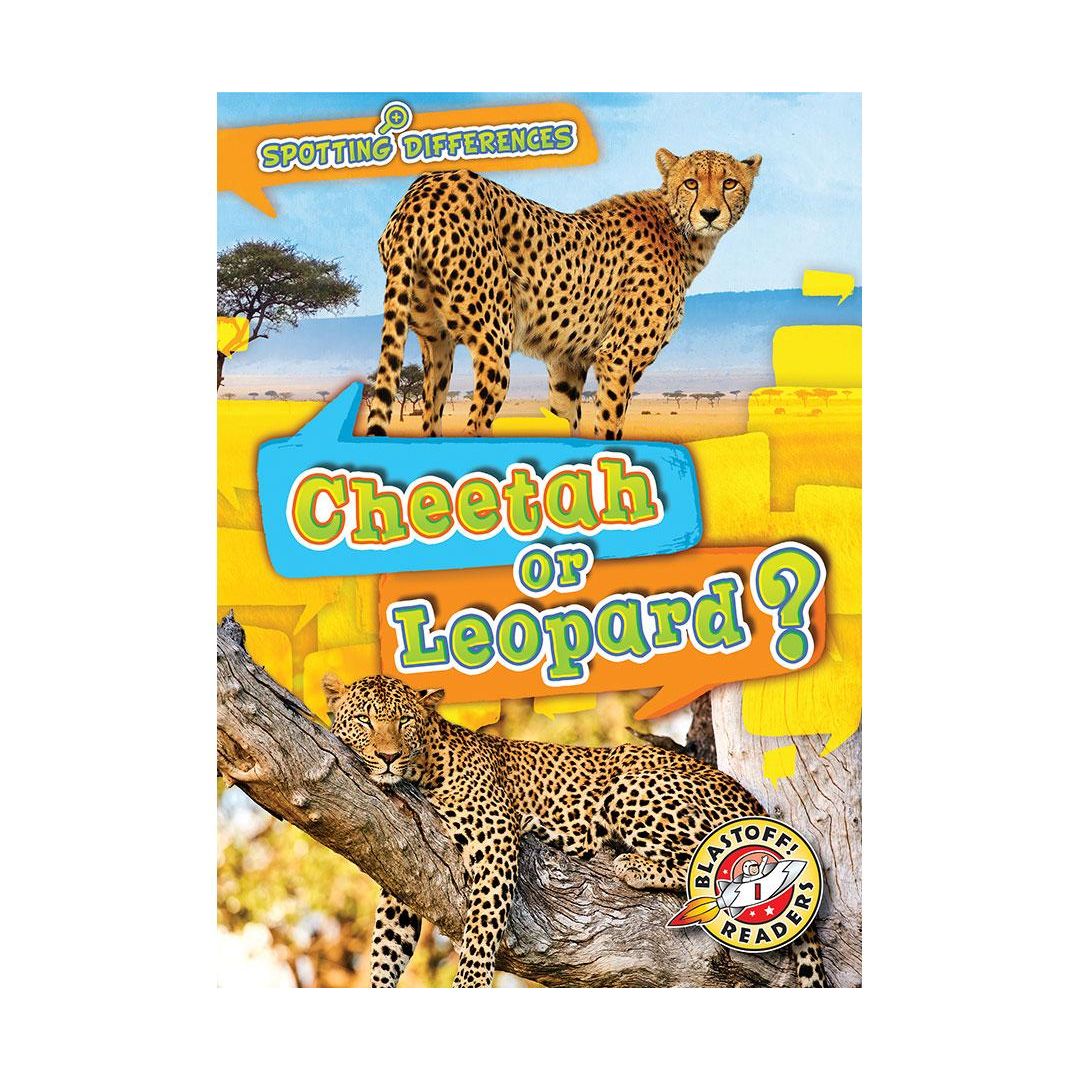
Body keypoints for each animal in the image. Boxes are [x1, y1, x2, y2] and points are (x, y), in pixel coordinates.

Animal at [322, 672, 827, 989]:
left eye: (404, 721)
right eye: (365, 720)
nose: (387, 756)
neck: (423, 767)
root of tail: (751, 798)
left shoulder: (494, 837)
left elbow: (482, 926)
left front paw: (469, 984)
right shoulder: (405, 861)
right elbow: (387, 943)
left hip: (633, 785)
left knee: (718, 865)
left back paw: (630, 864)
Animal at [363, 146, 761, 441]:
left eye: (729, 183)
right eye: (691, 183)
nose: (709, 213)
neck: (682, 233)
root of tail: (424, 188)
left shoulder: (568, 363)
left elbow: (565, 418)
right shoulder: (617, 357)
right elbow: (610, 427)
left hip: (436, 341)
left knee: (431, 417)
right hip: (494, 339)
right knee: (476, 421)